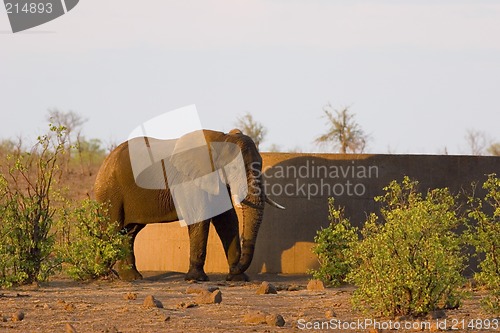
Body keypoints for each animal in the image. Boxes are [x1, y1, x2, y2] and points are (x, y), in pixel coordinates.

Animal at [92, 128, 284, 282]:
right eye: (235, 169)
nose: (235, 268)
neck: (221, 139)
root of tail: (106, 160)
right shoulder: (191, 179)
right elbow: (200, 217)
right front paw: (196, 279)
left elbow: (227, 221)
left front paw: (238, 278)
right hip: (110, 190)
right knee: (111, 229)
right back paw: (102, 275)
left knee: (129, 232)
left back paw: (131, 278)